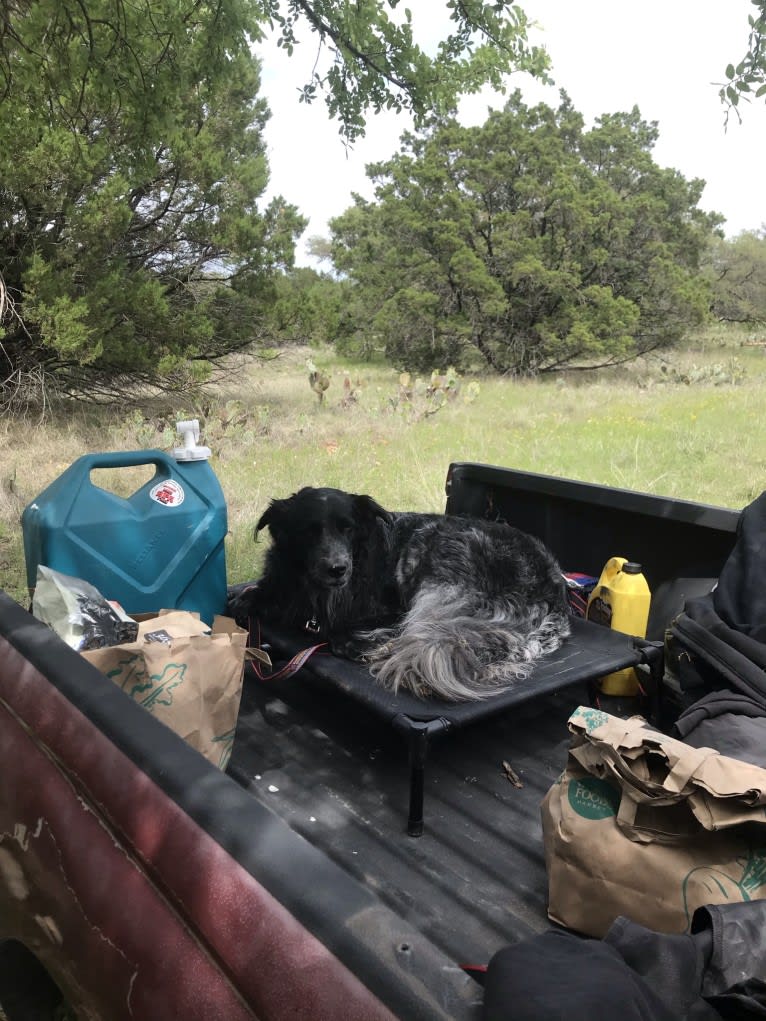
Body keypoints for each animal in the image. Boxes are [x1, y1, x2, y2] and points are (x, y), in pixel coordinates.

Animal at [230, 488, 571, 702]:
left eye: (347, 528)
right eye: (308, 531)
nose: (337, 569)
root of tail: (556, 592)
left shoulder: (394, 610)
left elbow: (342, 632)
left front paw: (369, 644)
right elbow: (242, 601)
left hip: (437, 555)